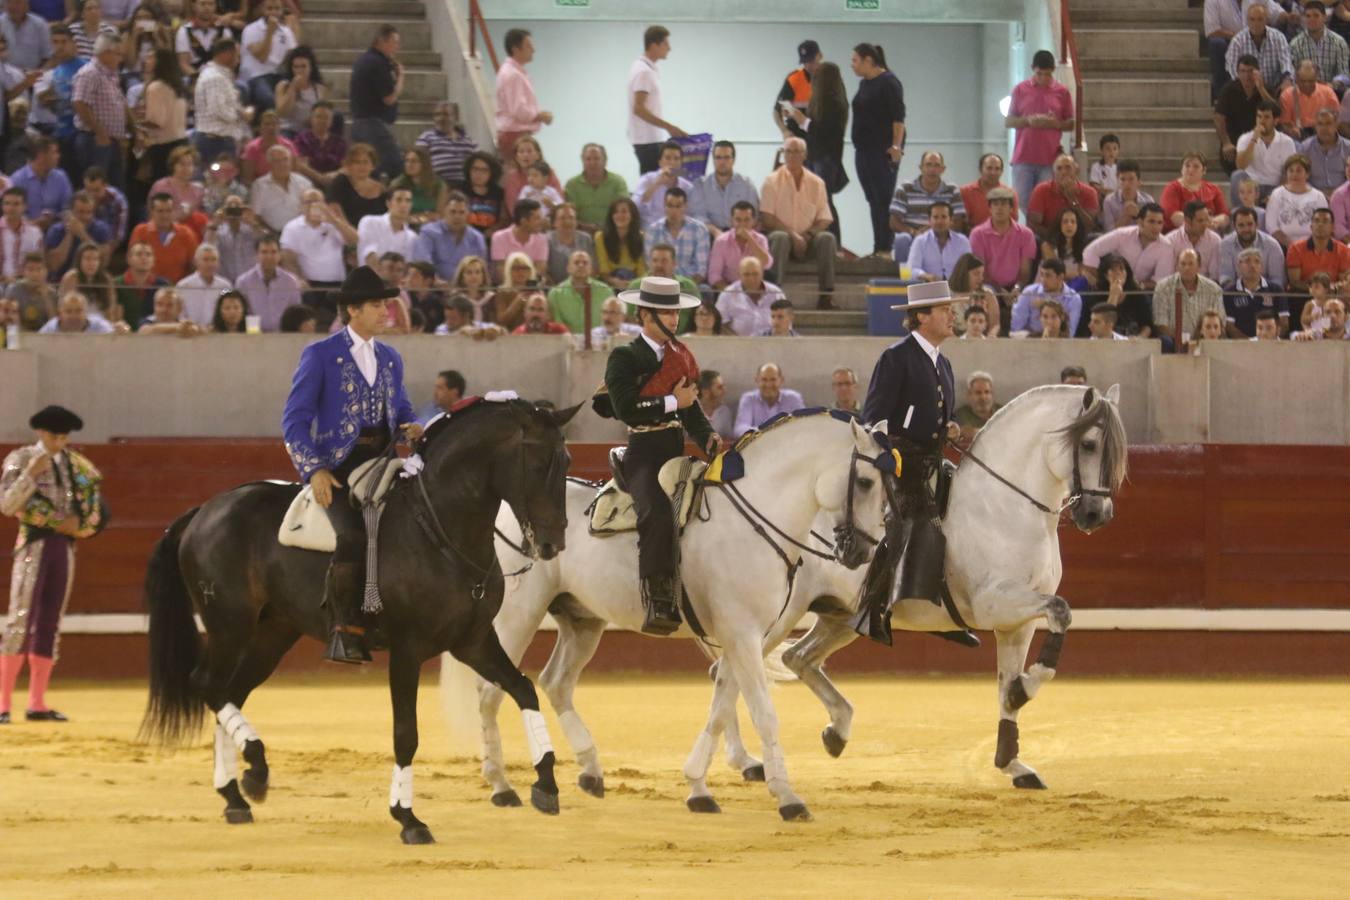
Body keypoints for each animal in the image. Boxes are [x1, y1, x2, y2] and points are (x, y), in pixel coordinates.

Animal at [453, 412, 896, 820]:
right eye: (865, 482)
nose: (862, 552)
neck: (756, 520)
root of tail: (506, 511)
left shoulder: (748, 638)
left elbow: (721, 705)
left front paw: (698, 787)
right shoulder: (743, 635)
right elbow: (763, 713)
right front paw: (787, 798)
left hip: (582, 619)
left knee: (555, 682)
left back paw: (590, 771)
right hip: (518, 616)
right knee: (489, 691)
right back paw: (502, 785)